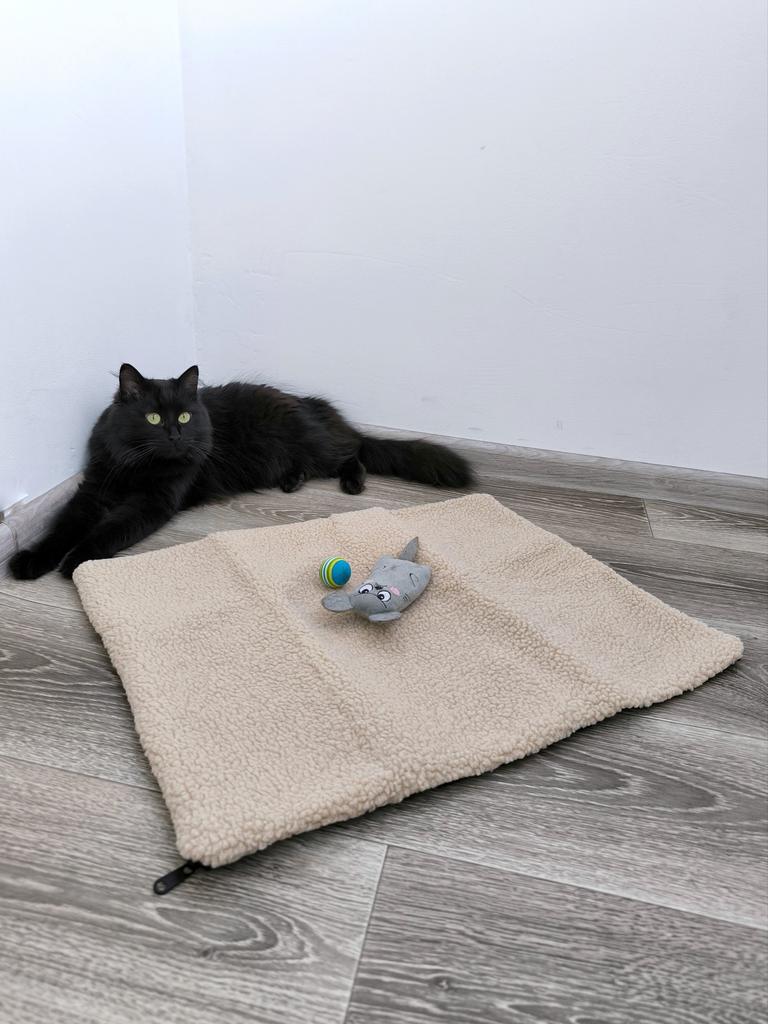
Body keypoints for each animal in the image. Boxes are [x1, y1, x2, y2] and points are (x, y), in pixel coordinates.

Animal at [9, 363, 473, 580]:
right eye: (154, 419)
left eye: (183, 415)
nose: (176, 435)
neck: (138, 466)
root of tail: (314, 407)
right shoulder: (93, 490)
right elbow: (60, 529)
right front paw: (31, 561)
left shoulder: (153, 502)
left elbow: (107, 532)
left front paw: (76, 561)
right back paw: (291, 482)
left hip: (314, 446)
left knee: (352, 453)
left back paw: (352, 483)